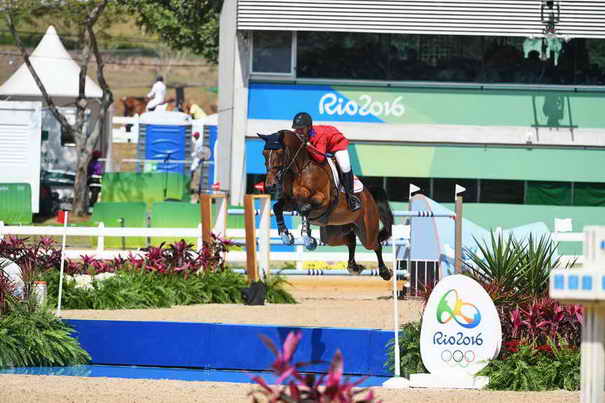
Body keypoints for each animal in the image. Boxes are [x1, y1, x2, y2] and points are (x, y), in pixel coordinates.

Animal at [258, 129, 394, 280]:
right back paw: (354, 267)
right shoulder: (291, 202)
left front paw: (307, 237)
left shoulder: (323, 200)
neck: (300, 169)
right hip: (334, 234)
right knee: (350, 240)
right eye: (264, 153)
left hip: (367, 229)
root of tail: (369, 195)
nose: (270, 186)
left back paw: (385, 271)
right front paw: (285, 235)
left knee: (375, 245)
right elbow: (277, 208)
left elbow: (305, 208)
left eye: (280, 152)